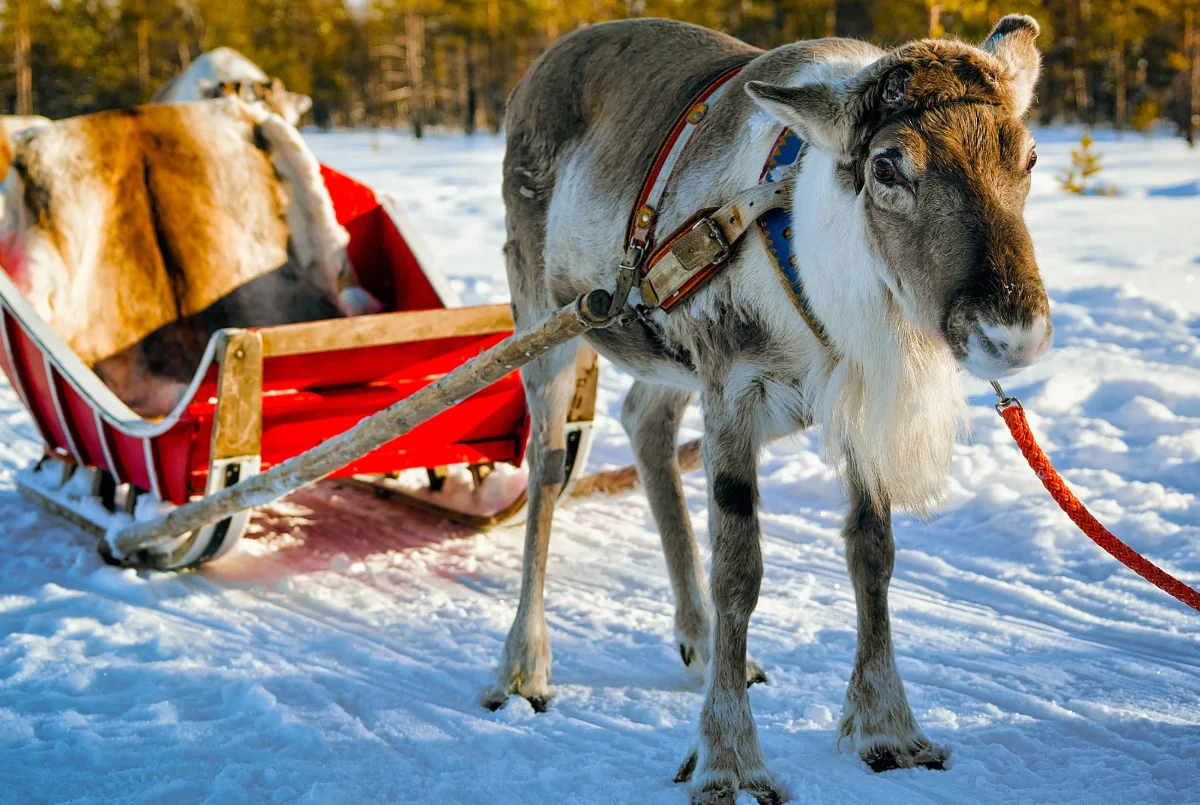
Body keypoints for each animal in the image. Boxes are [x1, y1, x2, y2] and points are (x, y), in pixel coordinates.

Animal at [485, 15, 1051, 805]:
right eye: (887, 167)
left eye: (1027, 156)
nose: (1013, 333)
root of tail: (538, 68)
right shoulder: (733, 386)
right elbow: (740, 572)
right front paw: (729, 759)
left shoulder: (853, 401)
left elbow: (872, 554)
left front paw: (889, 729)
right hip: (545, 312)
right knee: (544, 465)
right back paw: (525, 666)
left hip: (667, 352)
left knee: (645, 424)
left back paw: (697, 642)